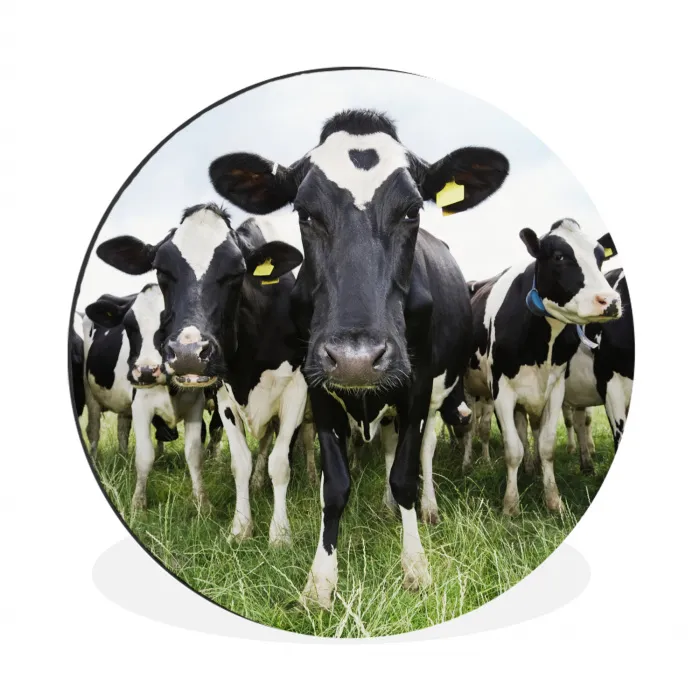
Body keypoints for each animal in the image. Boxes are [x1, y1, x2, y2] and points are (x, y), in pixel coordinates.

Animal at [95, 205, 306, 545]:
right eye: (161, 270)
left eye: (238, 271)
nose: (188, 354)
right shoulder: (223, 396)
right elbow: (240, 463)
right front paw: (240, 528)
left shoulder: (297, 392)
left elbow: (280, 463)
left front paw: (280, 535)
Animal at [208, 108, 509, 608]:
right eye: (305, 212)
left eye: (412, 210)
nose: (356, 359)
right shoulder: (317, 386)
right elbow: (334, 486)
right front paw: (320, 581)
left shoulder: (416, 386)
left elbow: (405, 474)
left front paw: (415, 566)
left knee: (423, 452)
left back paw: (424, 508)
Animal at [466, 218, 620, 515]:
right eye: (559, 256)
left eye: (600, 257)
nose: (610, 301)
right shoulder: (501, 390)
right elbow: (512, 448)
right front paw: (511, 506)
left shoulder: (555, 388)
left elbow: (546, 445)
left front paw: (553, 500)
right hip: (470, 390)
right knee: (470, 427)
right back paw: (468, 462)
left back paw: (531, 467)